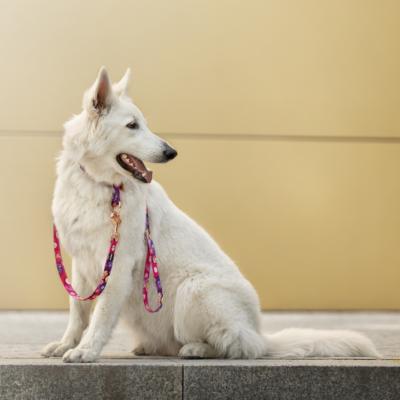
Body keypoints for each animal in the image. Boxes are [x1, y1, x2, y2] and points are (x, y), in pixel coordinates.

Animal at [42, 68, 380, 362]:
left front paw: (86, 350)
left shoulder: (118, 265)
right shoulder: (82, 265)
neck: (95, 183)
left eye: (143, 124)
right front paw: (66, 344)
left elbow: (99, 316)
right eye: (132, 126)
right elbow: (77, 311)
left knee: (238, 345)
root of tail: (260, 333)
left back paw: (197, 349)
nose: (171, 152)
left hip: (195, 289)